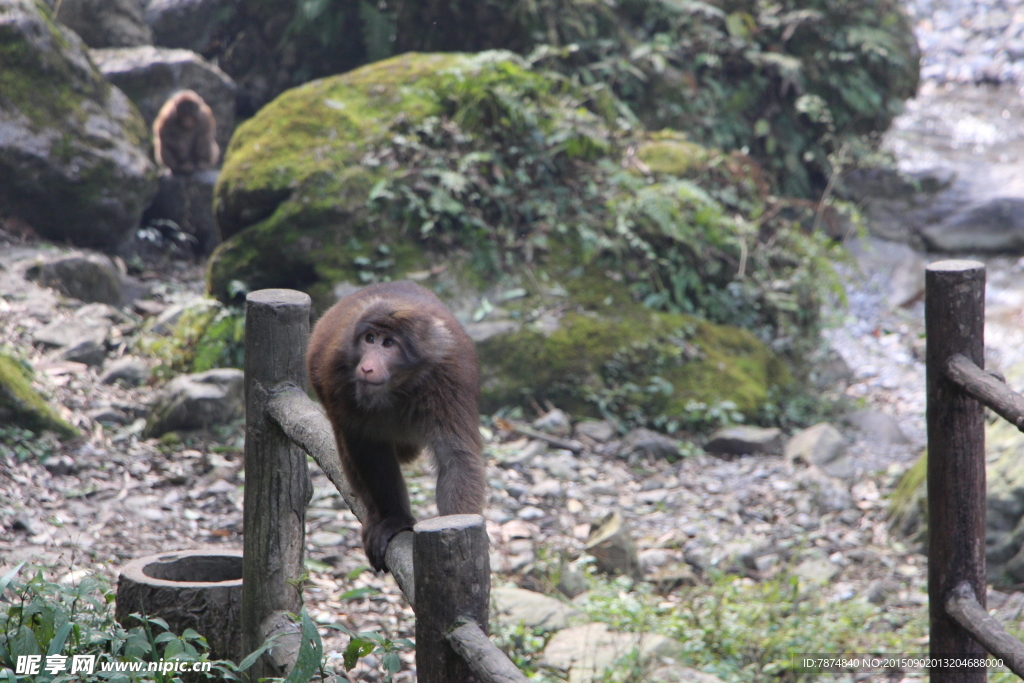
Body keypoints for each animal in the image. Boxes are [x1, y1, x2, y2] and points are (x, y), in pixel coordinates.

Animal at [305, 278, 485, 573]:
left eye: (388, 343)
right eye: (370, 339)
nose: (367, 367)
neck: (399, 386)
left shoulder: (450, 378)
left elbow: (455, 457)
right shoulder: (338, 375)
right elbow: (368, 449)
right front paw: (395, 518)